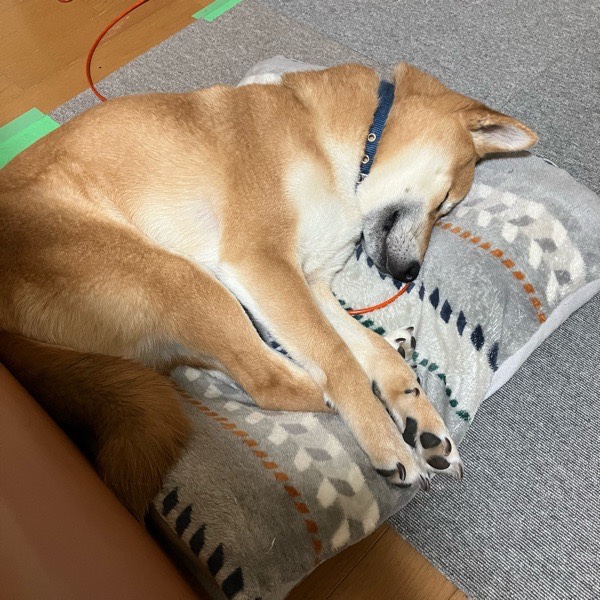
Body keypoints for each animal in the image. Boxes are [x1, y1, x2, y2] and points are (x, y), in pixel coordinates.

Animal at [0, 63, 537, 519]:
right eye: (445, 203)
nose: (408, 273)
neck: (343, 145)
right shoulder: (265, 264)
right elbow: (341, 361)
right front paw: (387, 436)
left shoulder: (312, 285)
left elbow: (366, 350)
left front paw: (417, 412)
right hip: (181, 279)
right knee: (268, 381)